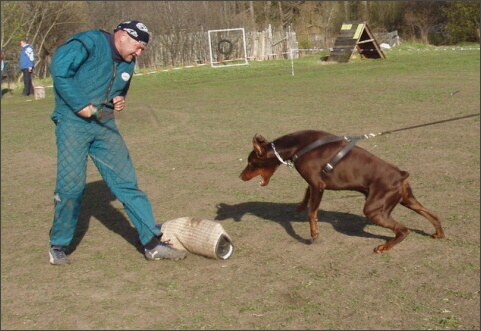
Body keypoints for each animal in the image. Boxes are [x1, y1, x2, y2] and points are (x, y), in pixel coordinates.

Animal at [238, 130, 444, 254]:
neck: (299, 145)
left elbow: (312, 213)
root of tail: (401, 175)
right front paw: (300, 206)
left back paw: (384, 247)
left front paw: (314, 234)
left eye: (250, 162)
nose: (240, 176)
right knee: (432, 215)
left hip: (374, 209)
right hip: (407, 199)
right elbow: (306, 196)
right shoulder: (314, 183)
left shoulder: (318, 185)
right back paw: (438, 233)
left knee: (403, 230)